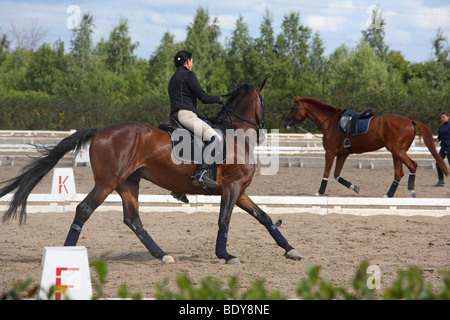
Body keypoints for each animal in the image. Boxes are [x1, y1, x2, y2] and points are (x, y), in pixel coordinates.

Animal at [0, 79, 302, 264]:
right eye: (263, 101)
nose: (269, 127)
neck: (236, 134)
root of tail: (101, 131)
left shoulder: (239, 191)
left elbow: (264, 217)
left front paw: (290, 250)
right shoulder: (232, 187)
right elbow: (224, 221)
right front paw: (225, 255)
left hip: (128, 184)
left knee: (133, 220)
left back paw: (162, 255)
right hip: (107, 183)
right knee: (84, 210)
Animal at [284, 96, 448, 198]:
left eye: (293, 108)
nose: (285, 123)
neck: (330, 122)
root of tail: (409, 121)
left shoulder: (330, 153)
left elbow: (326, 173)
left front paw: (319, 192)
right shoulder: (342, 154)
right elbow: (337, 175)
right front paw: (355, 187)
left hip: (397, 151)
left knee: (412, 166)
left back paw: (411, 191)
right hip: (396, 153)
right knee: (398, 173)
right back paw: (388, 194)